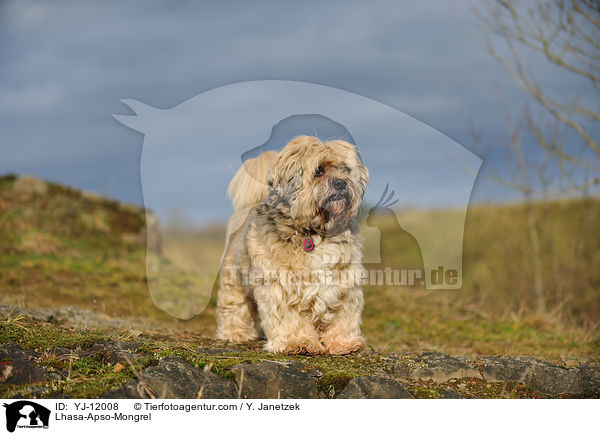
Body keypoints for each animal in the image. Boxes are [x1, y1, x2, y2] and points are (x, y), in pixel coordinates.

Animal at [213, 135, 368, 354]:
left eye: (345, 169)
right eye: (319, 170)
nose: (341, 182)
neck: (315, 232)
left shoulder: (346, 284)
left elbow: (344, 316)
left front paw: (344, 343)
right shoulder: (281, 284)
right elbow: (289, 317)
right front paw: (298, 342)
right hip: (234, 277)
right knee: (235, 305)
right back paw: (236, 333)